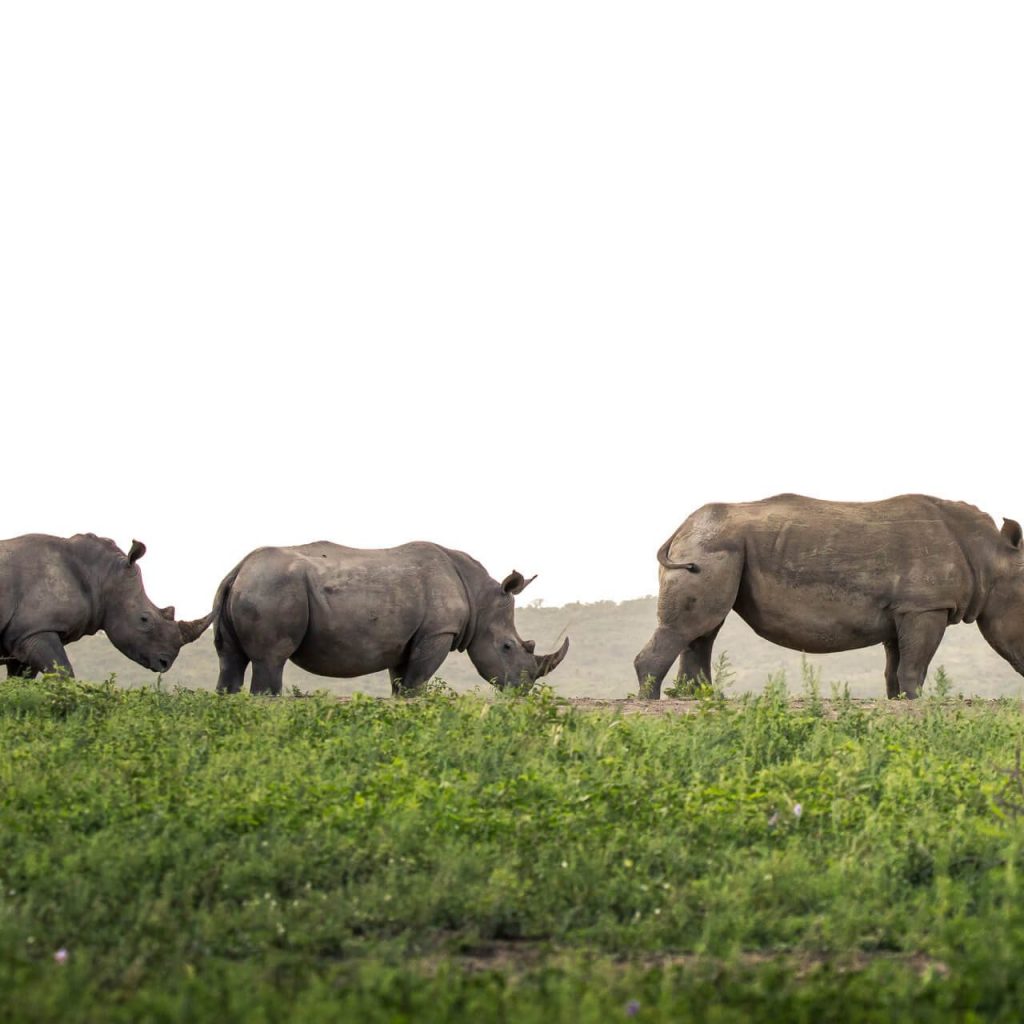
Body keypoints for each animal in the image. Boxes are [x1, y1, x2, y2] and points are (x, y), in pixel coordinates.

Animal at [0, 533, 213, 678]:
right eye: (144, 619)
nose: (165, 663)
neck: (101, 576)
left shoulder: (22, 638)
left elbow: (21, 682)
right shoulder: (36, 629)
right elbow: (63, 672)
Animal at [212, 541, 570, 695]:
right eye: (508, 646)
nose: (522, 690)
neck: (478, 597)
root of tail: (238, 570)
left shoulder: (407, 639)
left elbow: (401, 683)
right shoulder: (439, 632)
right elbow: (416, 683)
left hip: (247, 588)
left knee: (230, 659)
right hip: (272, 588)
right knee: (271, 659)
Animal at [634, 494, 1024, 699]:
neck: (990, 555)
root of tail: (680, 529)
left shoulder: (906, 608)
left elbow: (897, 669)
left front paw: (899, 703)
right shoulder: (925, 606)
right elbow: (915, 666)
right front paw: (917, 705)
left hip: (715, 547)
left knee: (703, 631)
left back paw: (700, 701)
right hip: (712, 547)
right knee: (692, 627)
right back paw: (653, 706)